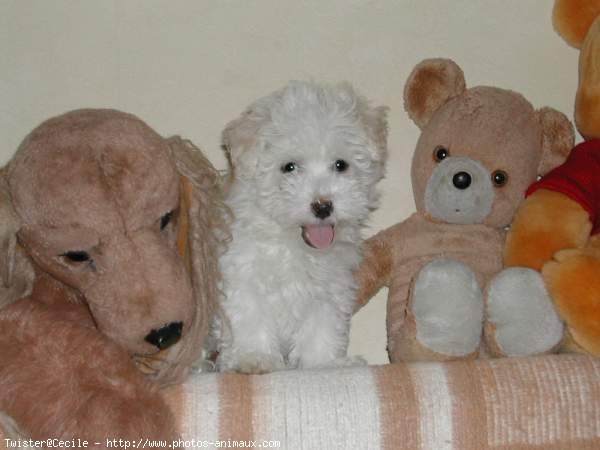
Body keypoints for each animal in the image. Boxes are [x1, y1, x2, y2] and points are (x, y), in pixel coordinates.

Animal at [216, 80, 390, 372]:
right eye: (289, 167)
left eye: (340, 165)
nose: (323, 206)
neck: (292, 243)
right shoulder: (242, 276)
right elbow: (250, 317)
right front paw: (255, 358)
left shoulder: (329, 289)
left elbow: (323, 327)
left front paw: (324, 363)